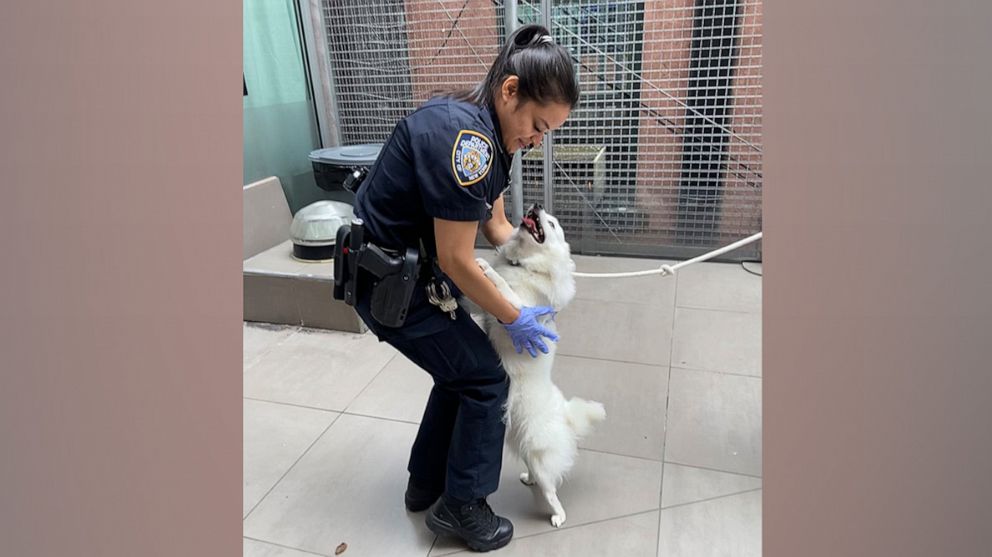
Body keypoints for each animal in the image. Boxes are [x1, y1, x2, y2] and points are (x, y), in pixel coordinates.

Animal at [472, 204, 604, 524]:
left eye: (553, 224)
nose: (536, 206)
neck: (524, 264)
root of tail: (565, 415)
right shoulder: (488, 306)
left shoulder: (516, 308)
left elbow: (503, 287)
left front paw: (485, 267)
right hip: (527, 449)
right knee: (537, 475)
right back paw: (527, 478)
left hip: (540, 456)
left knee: (550, 490)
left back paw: (558, 516)